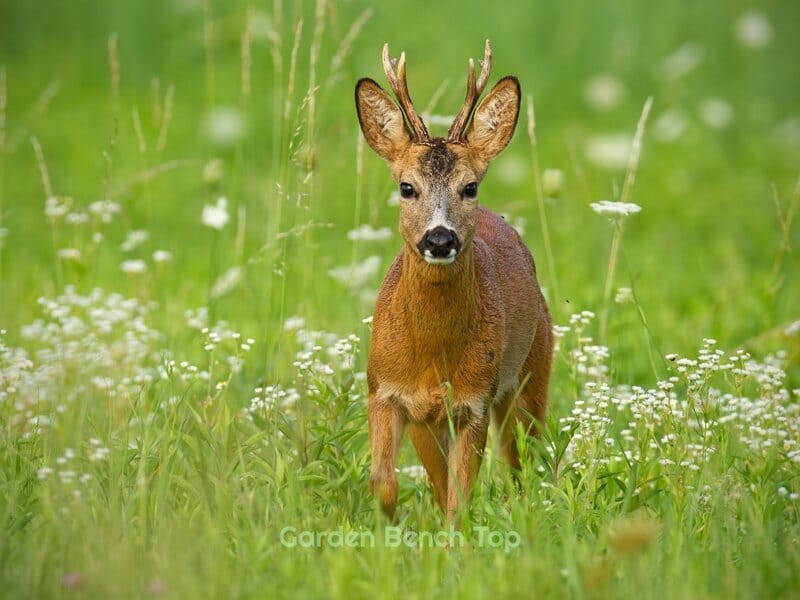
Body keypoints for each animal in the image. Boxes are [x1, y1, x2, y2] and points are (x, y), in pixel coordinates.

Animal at [355, 40, 553, 521]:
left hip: (533, 371)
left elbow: (459, 501)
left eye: (470, 187)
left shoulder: (474, 402)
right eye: (406, 187)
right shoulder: (383, 390)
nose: (440, 238)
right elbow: (384, 482)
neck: (432, 355)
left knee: (523, 464)